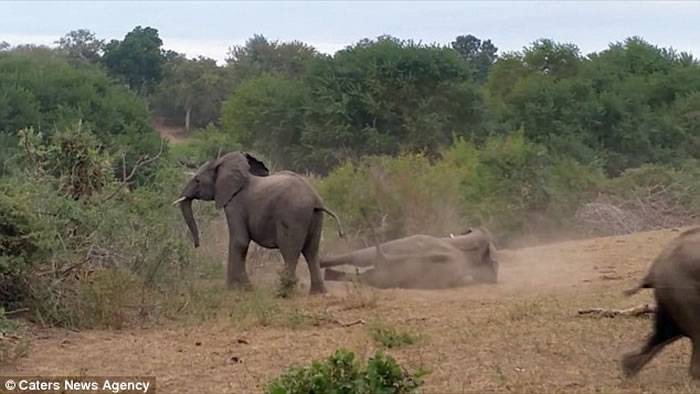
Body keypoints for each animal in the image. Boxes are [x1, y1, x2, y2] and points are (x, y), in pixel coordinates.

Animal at [172, 152, 342, 294]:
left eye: (197, 180)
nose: (196, 245)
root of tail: (315, 199)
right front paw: (236, 288)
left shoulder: (235, 204)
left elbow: (239, 241)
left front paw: (240, 288)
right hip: (315, 217)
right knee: (311, 251)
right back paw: (318, 293)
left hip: (293, 215)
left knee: (289, 250)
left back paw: (282, 292)